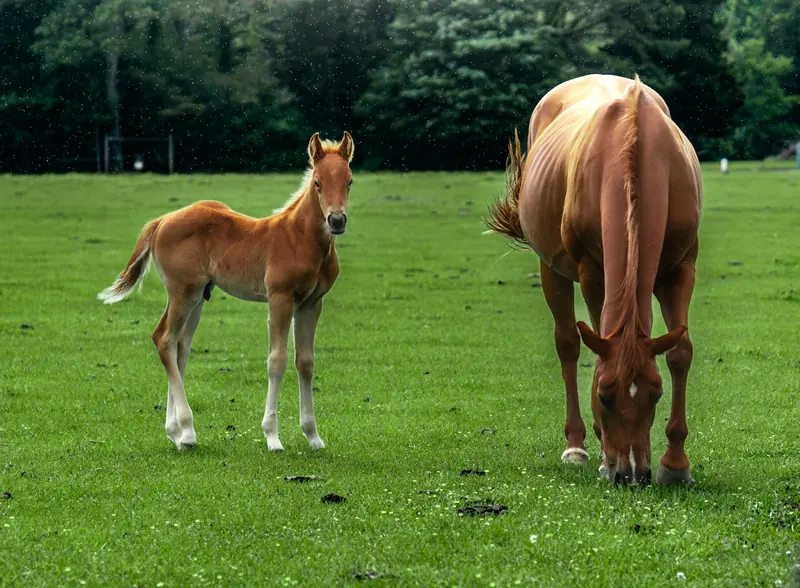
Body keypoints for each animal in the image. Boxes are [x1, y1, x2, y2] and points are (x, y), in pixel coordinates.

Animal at [98, 132, 355, 452]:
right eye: (318, 182)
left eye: (349, 180)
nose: (337, 221)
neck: (301, 238)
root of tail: (162, 221)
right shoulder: (280, 299)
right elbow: (277, 361)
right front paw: (272, 437)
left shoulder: (311, 304)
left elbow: (305, 362)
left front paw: (313, 437)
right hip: (183, 292)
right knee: (164, 338)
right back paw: (187, 431)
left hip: (199, 296)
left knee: (180, 346)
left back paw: (177, 432)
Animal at [486, 75, 702, 486]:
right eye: (603, 395)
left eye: (656, 394)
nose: (631, 474)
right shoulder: (592, 272)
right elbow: (592, 341)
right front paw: (605, 455)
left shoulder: (680, 270)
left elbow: (680, 352)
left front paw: (675, 464)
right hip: (552, 269)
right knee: (568, 344)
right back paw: (576, 446)